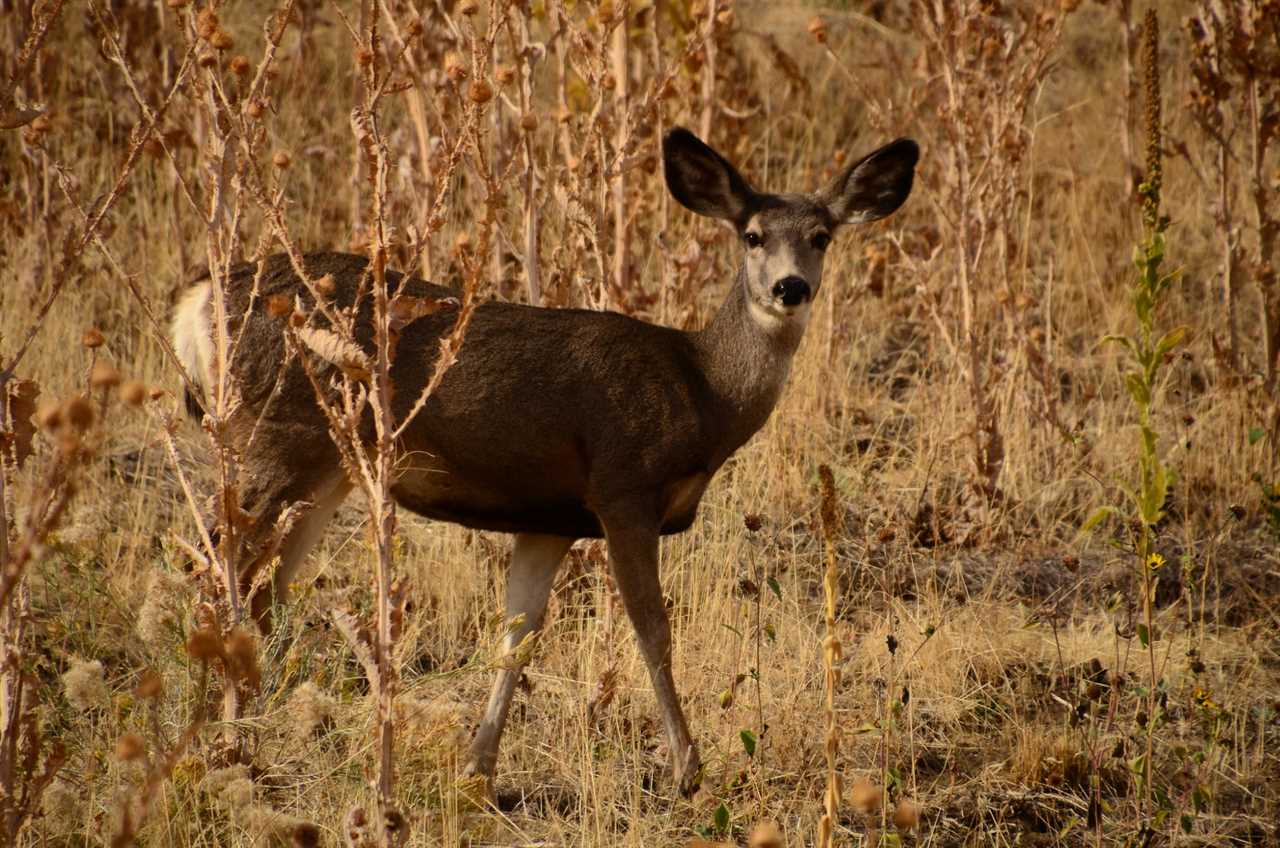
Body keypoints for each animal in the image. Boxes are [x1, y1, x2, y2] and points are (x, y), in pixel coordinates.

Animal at [172, 128, 921, 799]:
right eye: (753, 235)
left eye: (822, 235)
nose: (791, 288)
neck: (704, 392)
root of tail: (198, 299)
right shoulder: (623, 486)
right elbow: (653, 630)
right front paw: (688, 770)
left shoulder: (550, 519)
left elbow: (517, 637)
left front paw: (477, 773)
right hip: (275, 438)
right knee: (219, 571)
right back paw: (218, 745)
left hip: (321, 469)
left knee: (262, 588)